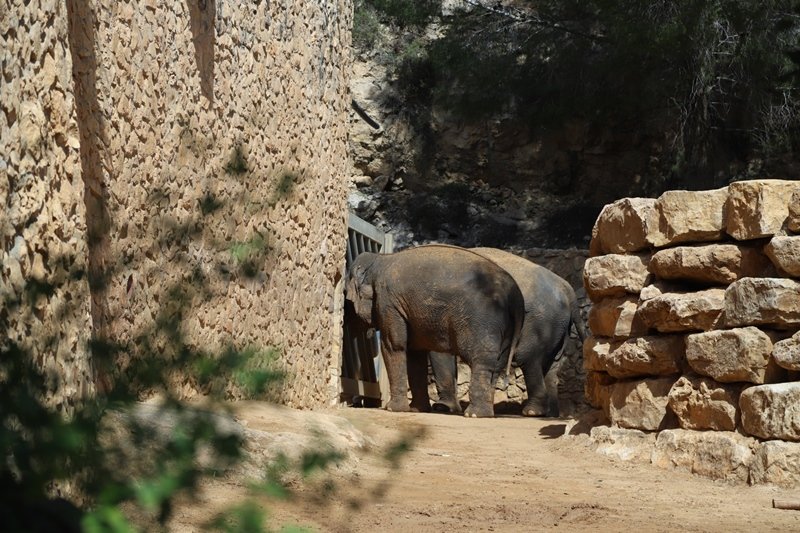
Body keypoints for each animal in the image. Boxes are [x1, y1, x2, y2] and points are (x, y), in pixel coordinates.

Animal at [346, 243, 524, 418]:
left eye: (346, 298)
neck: (379, 260)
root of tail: (516, 294)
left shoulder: (388, 301)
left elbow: (394, 346)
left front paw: (393, 409)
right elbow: (415, 355)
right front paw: (417, 410)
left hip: (483, 320)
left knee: (482, 360)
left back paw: (473, 414)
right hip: (506, 325)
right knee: (498, 364)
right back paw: (485, 413)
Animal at [432, 247, 588, 418]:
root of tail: (567, 288)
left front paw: (443, 408)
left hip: (540, 323)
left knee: (529, 360)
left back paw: (532, 412)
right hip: (558, 327)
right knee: (550, 366)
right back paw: (550, 414)